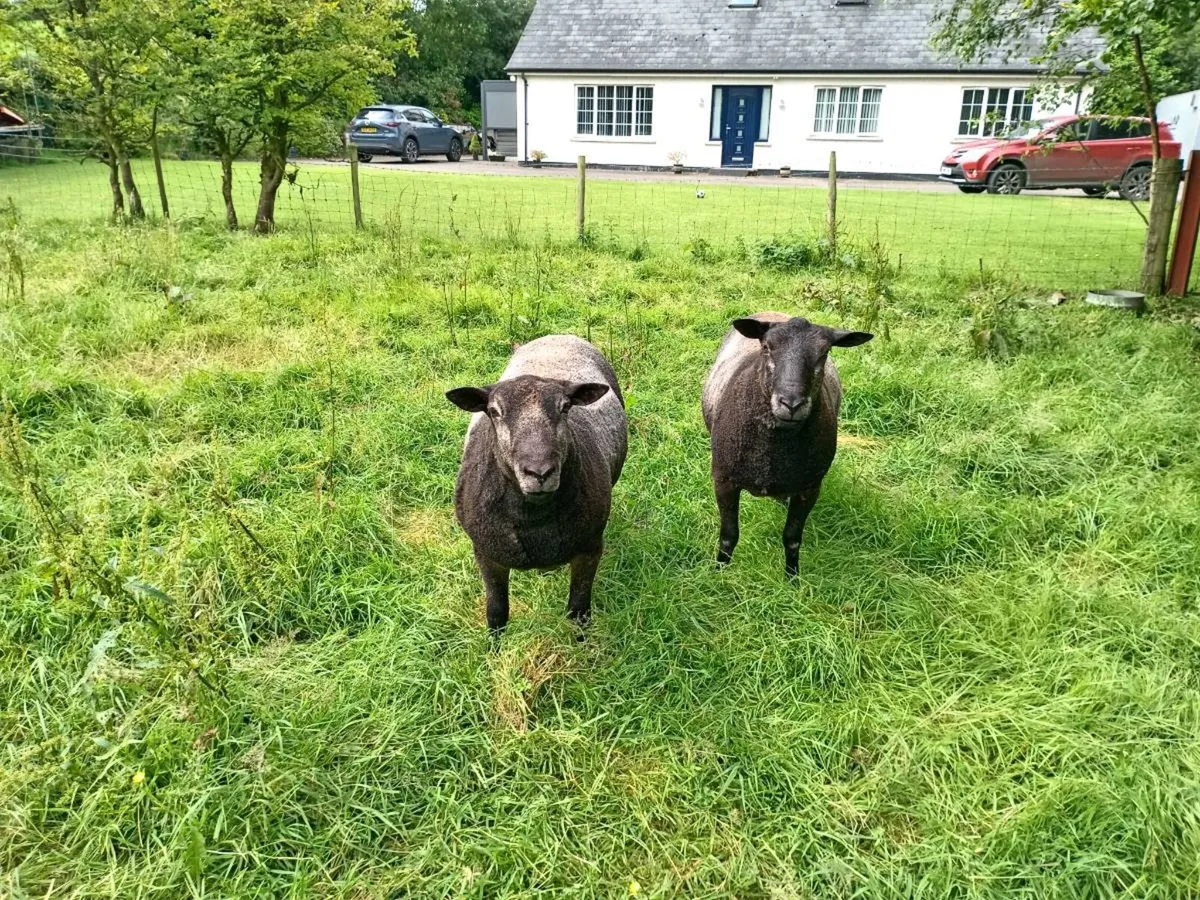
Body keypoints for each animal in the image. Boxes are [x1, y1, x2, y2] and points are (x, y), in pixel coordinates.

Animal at [446, 335, 627, 633]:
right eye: (494, 411)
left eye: (565, 407)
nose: (540, 472)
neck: (532, 519)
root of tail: (559, 334)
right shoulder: (486, 555)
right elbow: (497, 615)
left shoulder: (589, 549)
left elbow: (579, 613)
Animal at [702, 313, 873, 578]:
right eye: (767, 347)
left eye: (824, 353)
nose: (791, 404)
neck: (772, 449)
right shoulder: (723, 479)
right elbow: (729, 536)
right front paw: (718, 575)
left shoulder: (810, 487)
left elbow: (792, 538)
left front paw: (793, 579)